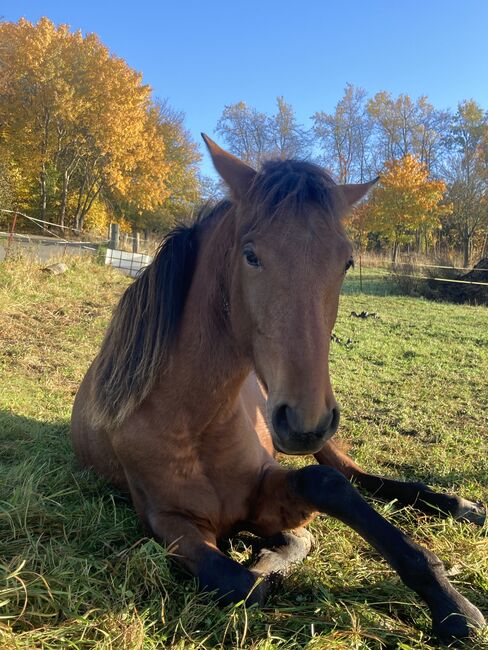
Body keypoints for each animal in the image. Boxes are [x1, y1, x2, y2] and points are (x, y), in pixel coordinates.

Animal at [70, 134, 486, 640]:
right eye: (251, 255)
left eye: (346, 261)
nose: (305, 420)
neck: (194, 420)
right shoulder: (172, 525)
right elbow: (245, 586)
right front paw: (270, 558)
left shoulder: (270, 480)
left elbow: (327, 487)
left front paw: (453, 607)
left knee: (356, 475)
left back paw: (457, 504)